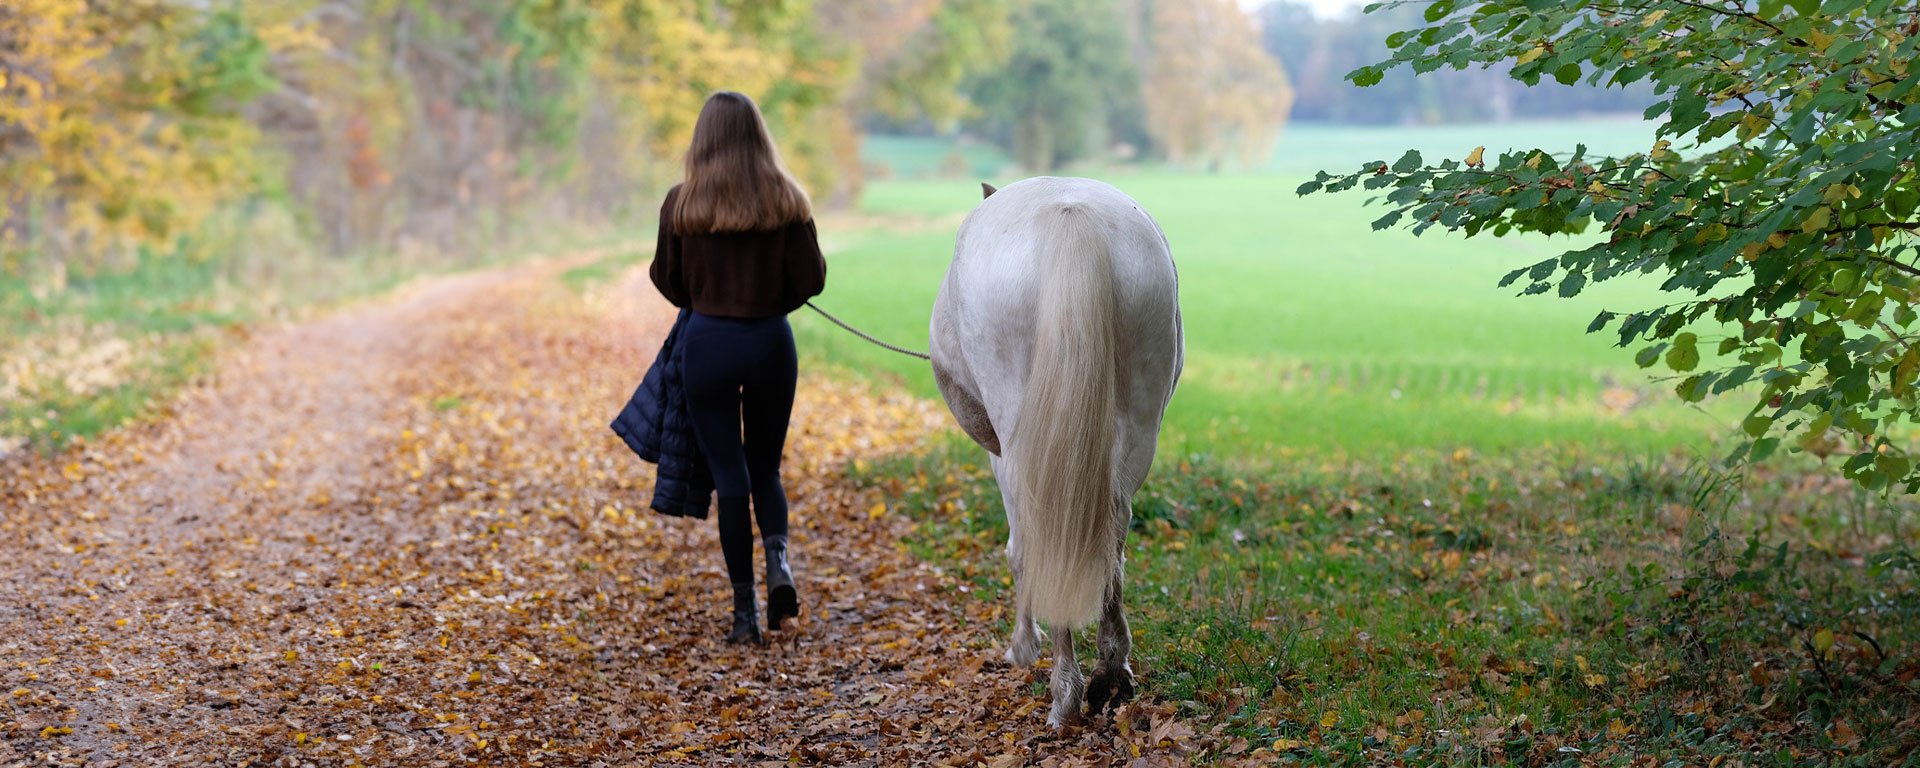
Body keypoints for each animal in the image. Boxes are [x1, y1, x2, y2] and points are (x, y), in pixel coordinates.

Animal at [929, 176, 1183, 727]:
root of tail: (1068, 214)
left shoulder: (1000, 456)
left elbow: (1018, 550)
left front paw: (1023, 645)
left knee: (1048, 535)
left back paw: (1064, 688)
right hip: (1138, 424)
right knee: (1112, 525)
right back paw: (1112, 672)